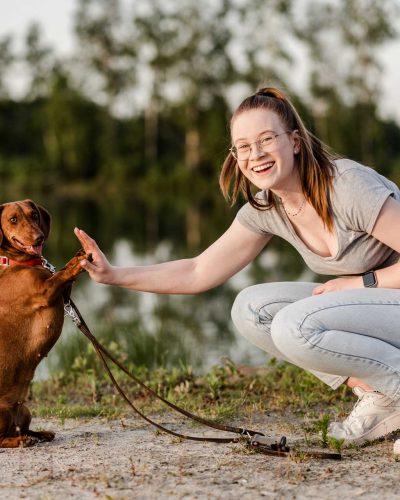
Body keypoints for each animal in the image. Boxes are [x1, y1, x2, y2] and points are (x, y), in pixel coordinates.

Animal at [0, 199, 88, 450]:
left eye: (34, 215)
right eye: (13, 219)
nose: (38, 238)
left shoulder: (62, 291)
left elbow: (62, 273)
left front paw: (79, 253)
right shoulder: (44, 291)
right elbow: (62, 274)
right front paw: (79, 260)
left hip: (25, 410)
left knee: (24, 427)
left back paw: (40, 434)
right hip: (2, 413)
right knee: (1, 440)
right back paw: (21, 440)